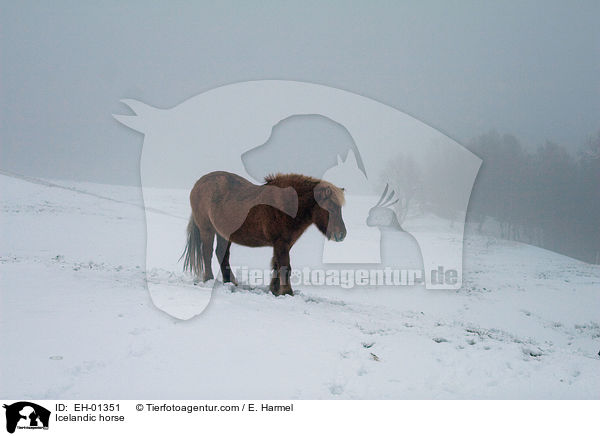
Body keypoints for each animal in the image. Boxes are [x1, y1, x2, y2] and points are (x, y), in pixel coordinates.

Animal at [180, 172, 344, 294]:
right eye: (331, 208)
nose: (342, 234)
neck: (287, 205)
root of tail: (198, 183)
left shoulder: (284, 244)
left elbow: (277, 265)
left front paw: (275, 290)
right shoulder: (281, 243)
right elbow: (285, 266)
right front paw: (287, 292)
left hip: (223, 234)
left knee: (222, 254)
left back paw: (230, 282)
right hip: (207, 229)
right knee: (207, 253)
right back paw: (208, 279)